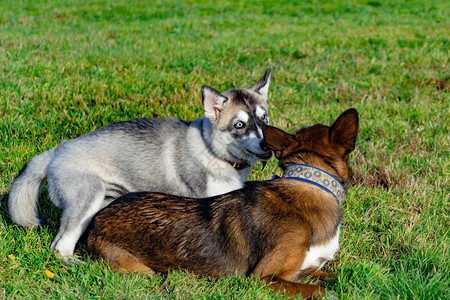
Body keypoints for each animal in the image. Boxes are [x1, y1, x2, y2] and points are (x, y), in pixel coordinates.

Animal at [8, 69, 272, 262]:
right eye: (239, 125)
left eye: (264, 117)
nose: (267, 145)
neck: (212, 150)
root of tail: (58, 149)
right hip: (86, 199)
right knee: (59, 245)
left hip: (102, 202)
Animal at [85, 108, 358, 298]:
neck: (311, 184)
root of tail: (98, 218)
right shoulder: (263, 278)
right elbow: (319, 291)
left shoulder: (309, 269)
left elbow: (335, 274)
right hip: (140, 271)